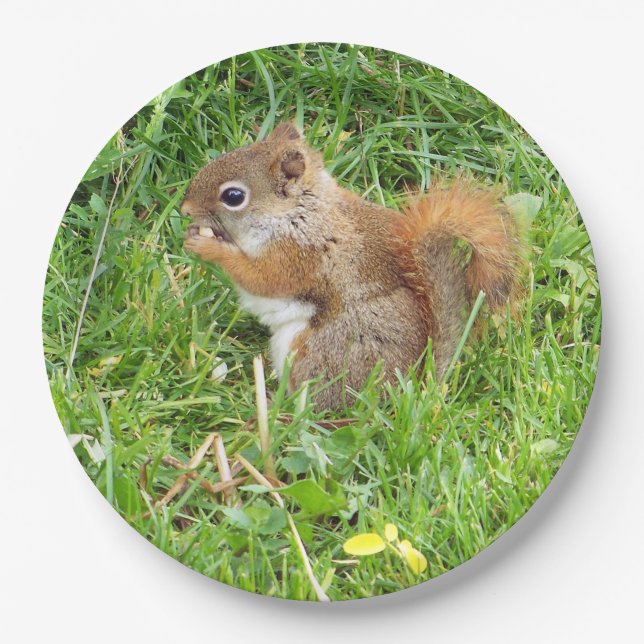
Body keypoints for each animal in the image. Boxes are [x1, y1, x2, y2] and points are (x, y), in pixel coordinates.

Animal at [182, 123, 526, 409]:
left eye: (233, 196)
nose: (184, 209)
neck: (298, 212)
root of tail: (408, 390)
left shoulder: (299, 254)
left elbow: (262, 279)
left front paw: (207, 247)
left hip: (321, 351)